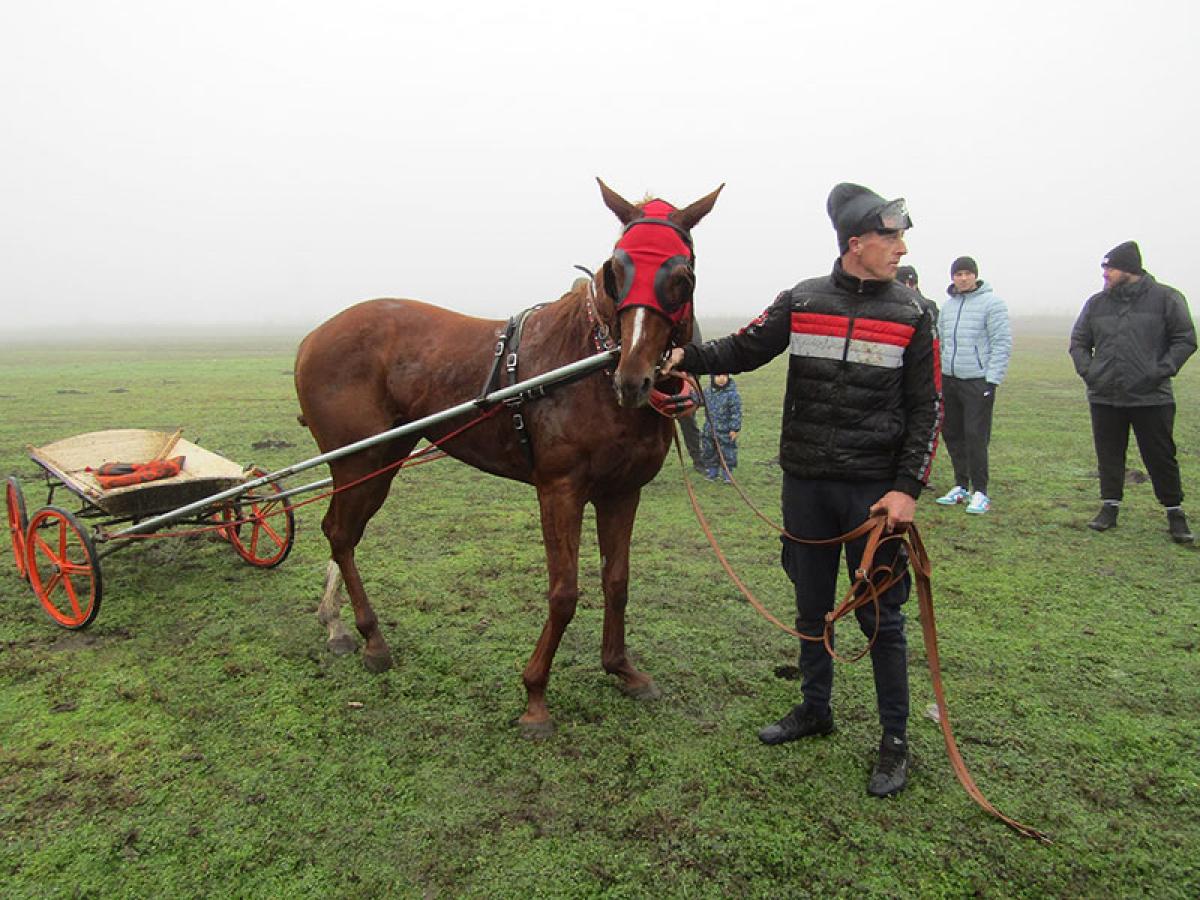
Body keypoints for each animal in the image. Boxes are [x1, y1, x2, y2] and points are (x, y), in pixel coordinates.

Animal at [293, 178, 722, 735]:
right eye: (616, 270)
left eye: (681, 277)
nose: (633, 378)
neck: (589, 366)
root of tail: (313, 338)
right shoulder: (560, 490)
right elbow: (564, 593)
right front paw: (535, 694)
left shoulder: (622, 492)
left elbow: (617, 581)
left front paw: (621, 668)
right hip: (359, 461)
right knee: (341, 535)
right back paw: (369, 638)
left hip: (382, 457)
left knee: (342, 533)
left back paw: (339, 624)